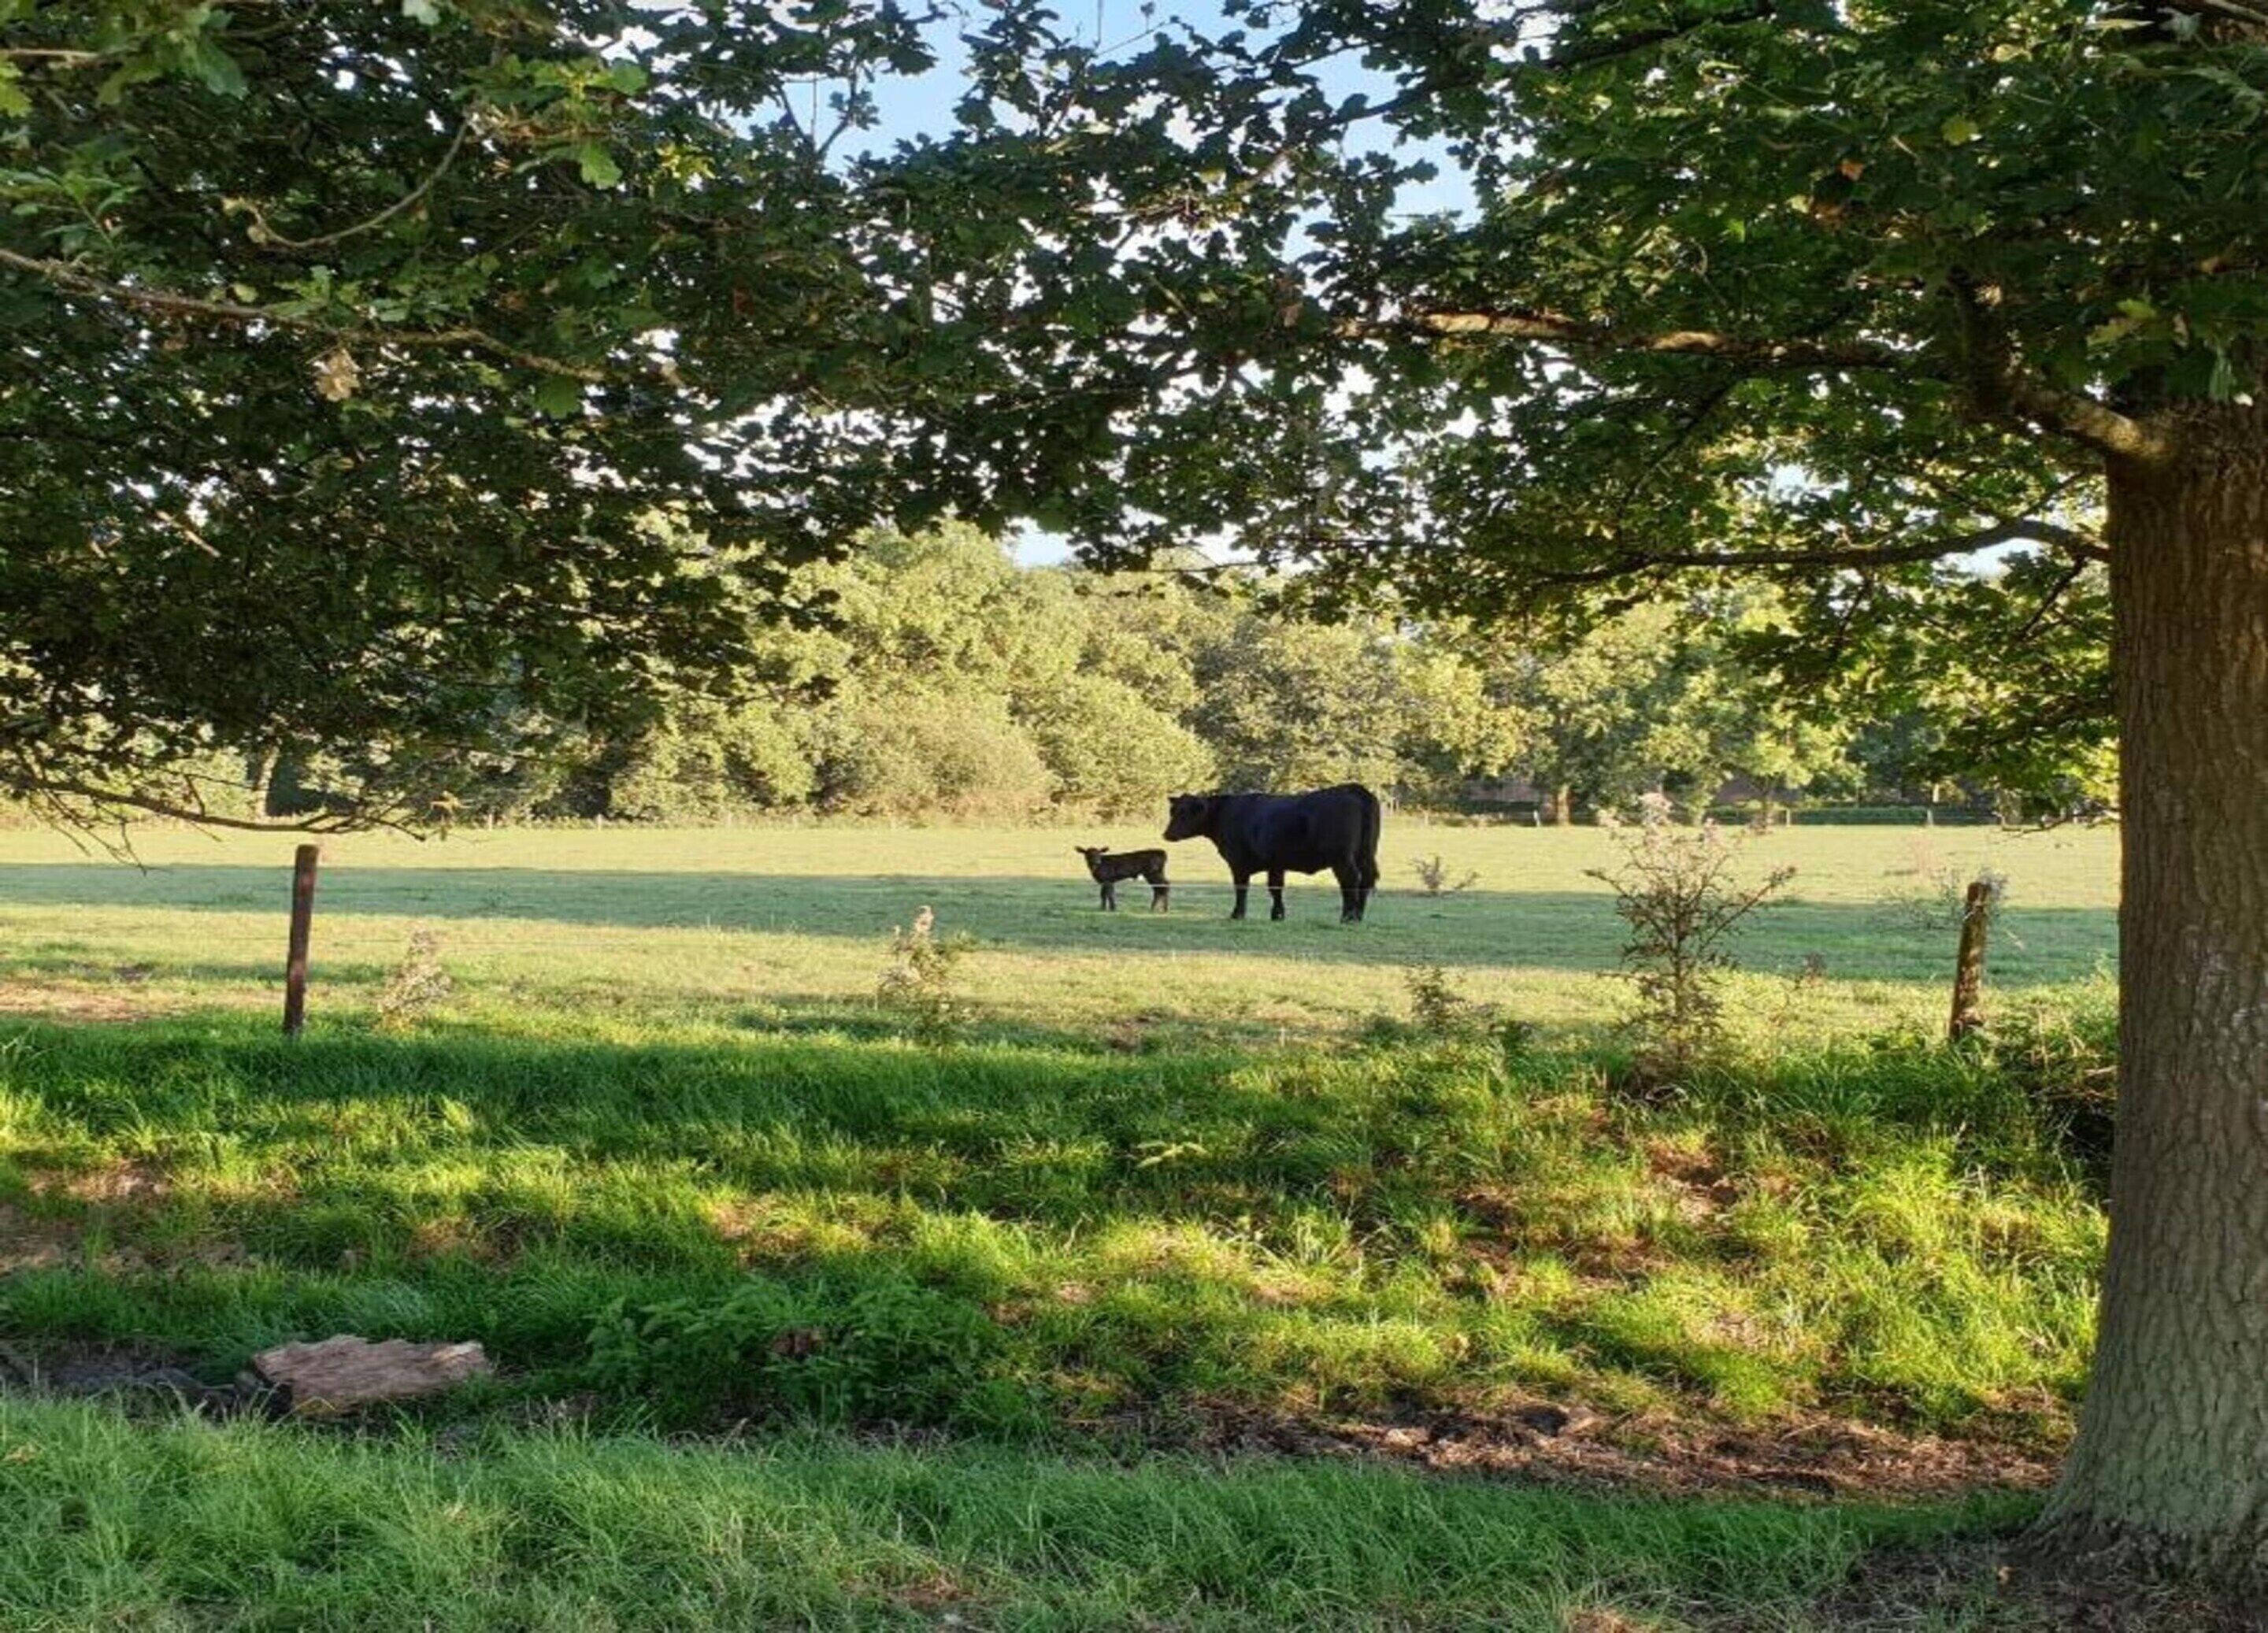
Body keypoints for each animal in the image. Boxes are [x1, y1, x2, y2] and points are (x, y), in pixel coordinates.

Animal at [1162, 784, 1382, 923]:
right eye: (1172, 811)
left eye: (1185, 813)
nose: (1166, 834)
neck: (1226, 814)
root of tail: (1353, 789)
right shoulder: (1276, 863)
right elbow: (1275, 888)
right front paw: (1277, 915)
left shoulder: (1238, 863)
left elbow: (1241, 888)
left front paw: (1237, 914)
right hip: (1365, 855)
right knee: (1365, 881)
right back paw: (1358, 916)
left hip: (1342, 858)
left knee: (1350, 881)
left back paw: (1347, 917)